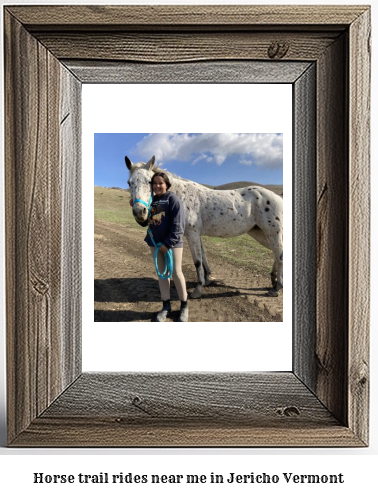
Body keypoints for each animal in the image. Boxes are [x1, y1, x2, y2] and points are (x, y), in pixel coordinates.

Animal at [125, 155, 282, 296]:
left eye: (149, 181)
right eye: (129, 182)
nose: (139, 212)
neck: (181, 196)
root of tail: (277, 197)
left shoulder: (192, 233)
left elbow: (197, 261)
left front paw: (198, 289)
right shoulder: (197, 234)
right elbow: (203, 256)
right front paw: (207, 278)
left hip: (272, 232)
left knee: (279, 254)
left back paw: (276, 287)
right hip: (260, 233)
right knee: (277, 253)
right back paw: (273, 280)